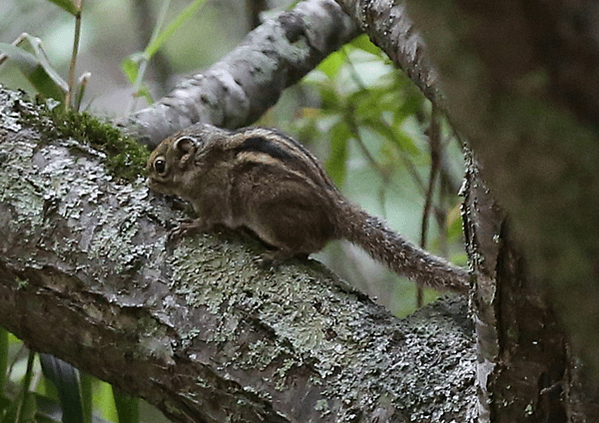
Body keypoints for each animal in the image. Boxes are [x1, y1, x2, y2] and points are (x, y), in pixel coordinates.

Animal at [148, 124, 472, 294]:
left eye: (159, 165)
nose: (149, 182)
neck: (203, 164)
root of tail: (334, 208)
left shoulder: (214, 200)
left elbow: (207, 220)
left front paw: (188, 227)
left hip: (269, 213)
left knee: (305, 243)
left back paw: (277, 254)